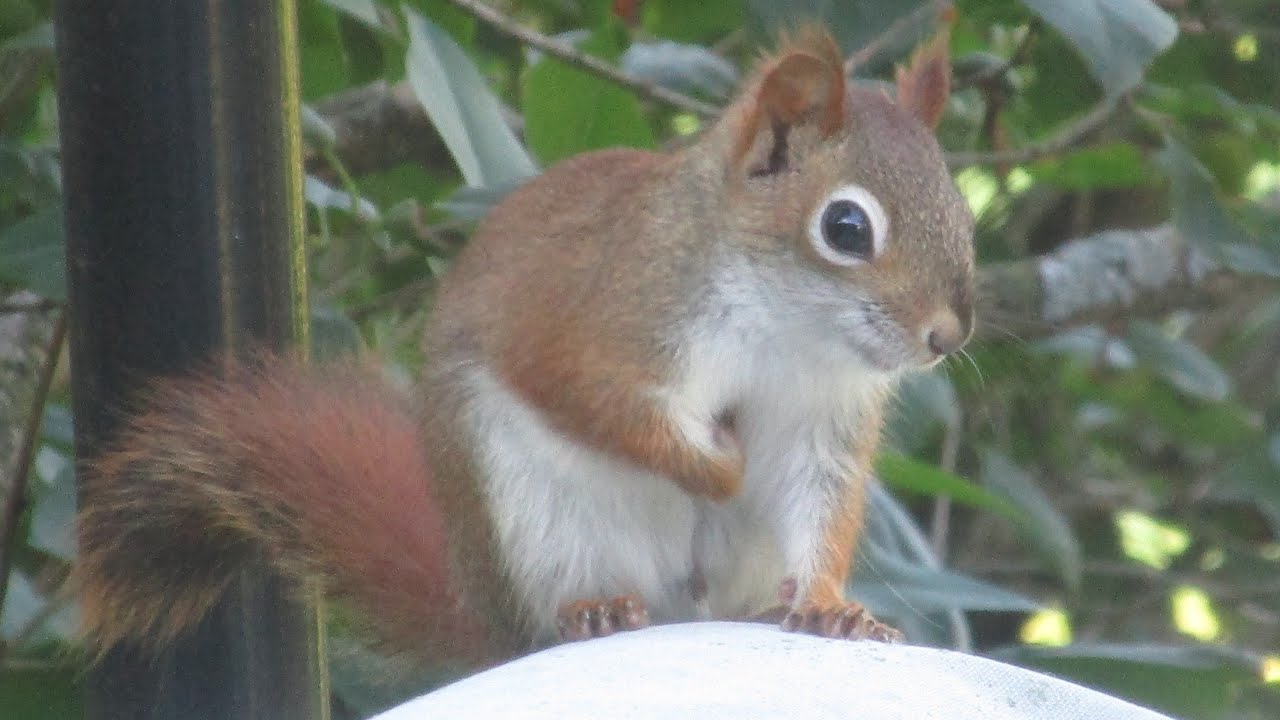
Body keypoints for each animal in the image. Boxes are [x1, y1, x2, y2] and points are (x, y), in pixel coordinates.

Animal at [73, 27, 974, 666]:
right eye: (846, 227)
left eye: (963, 216)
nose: (945, 337)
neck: (787, 327)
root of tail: (490, 618)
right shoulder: (595, 323)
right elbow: (595, 403)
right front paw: (717, 464)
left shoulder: (823, 415)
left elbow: (819, 503)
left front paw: (829, 602)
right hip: (535, 523)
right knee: (559, 607)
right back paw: (594, 611)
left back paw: (763, 607)